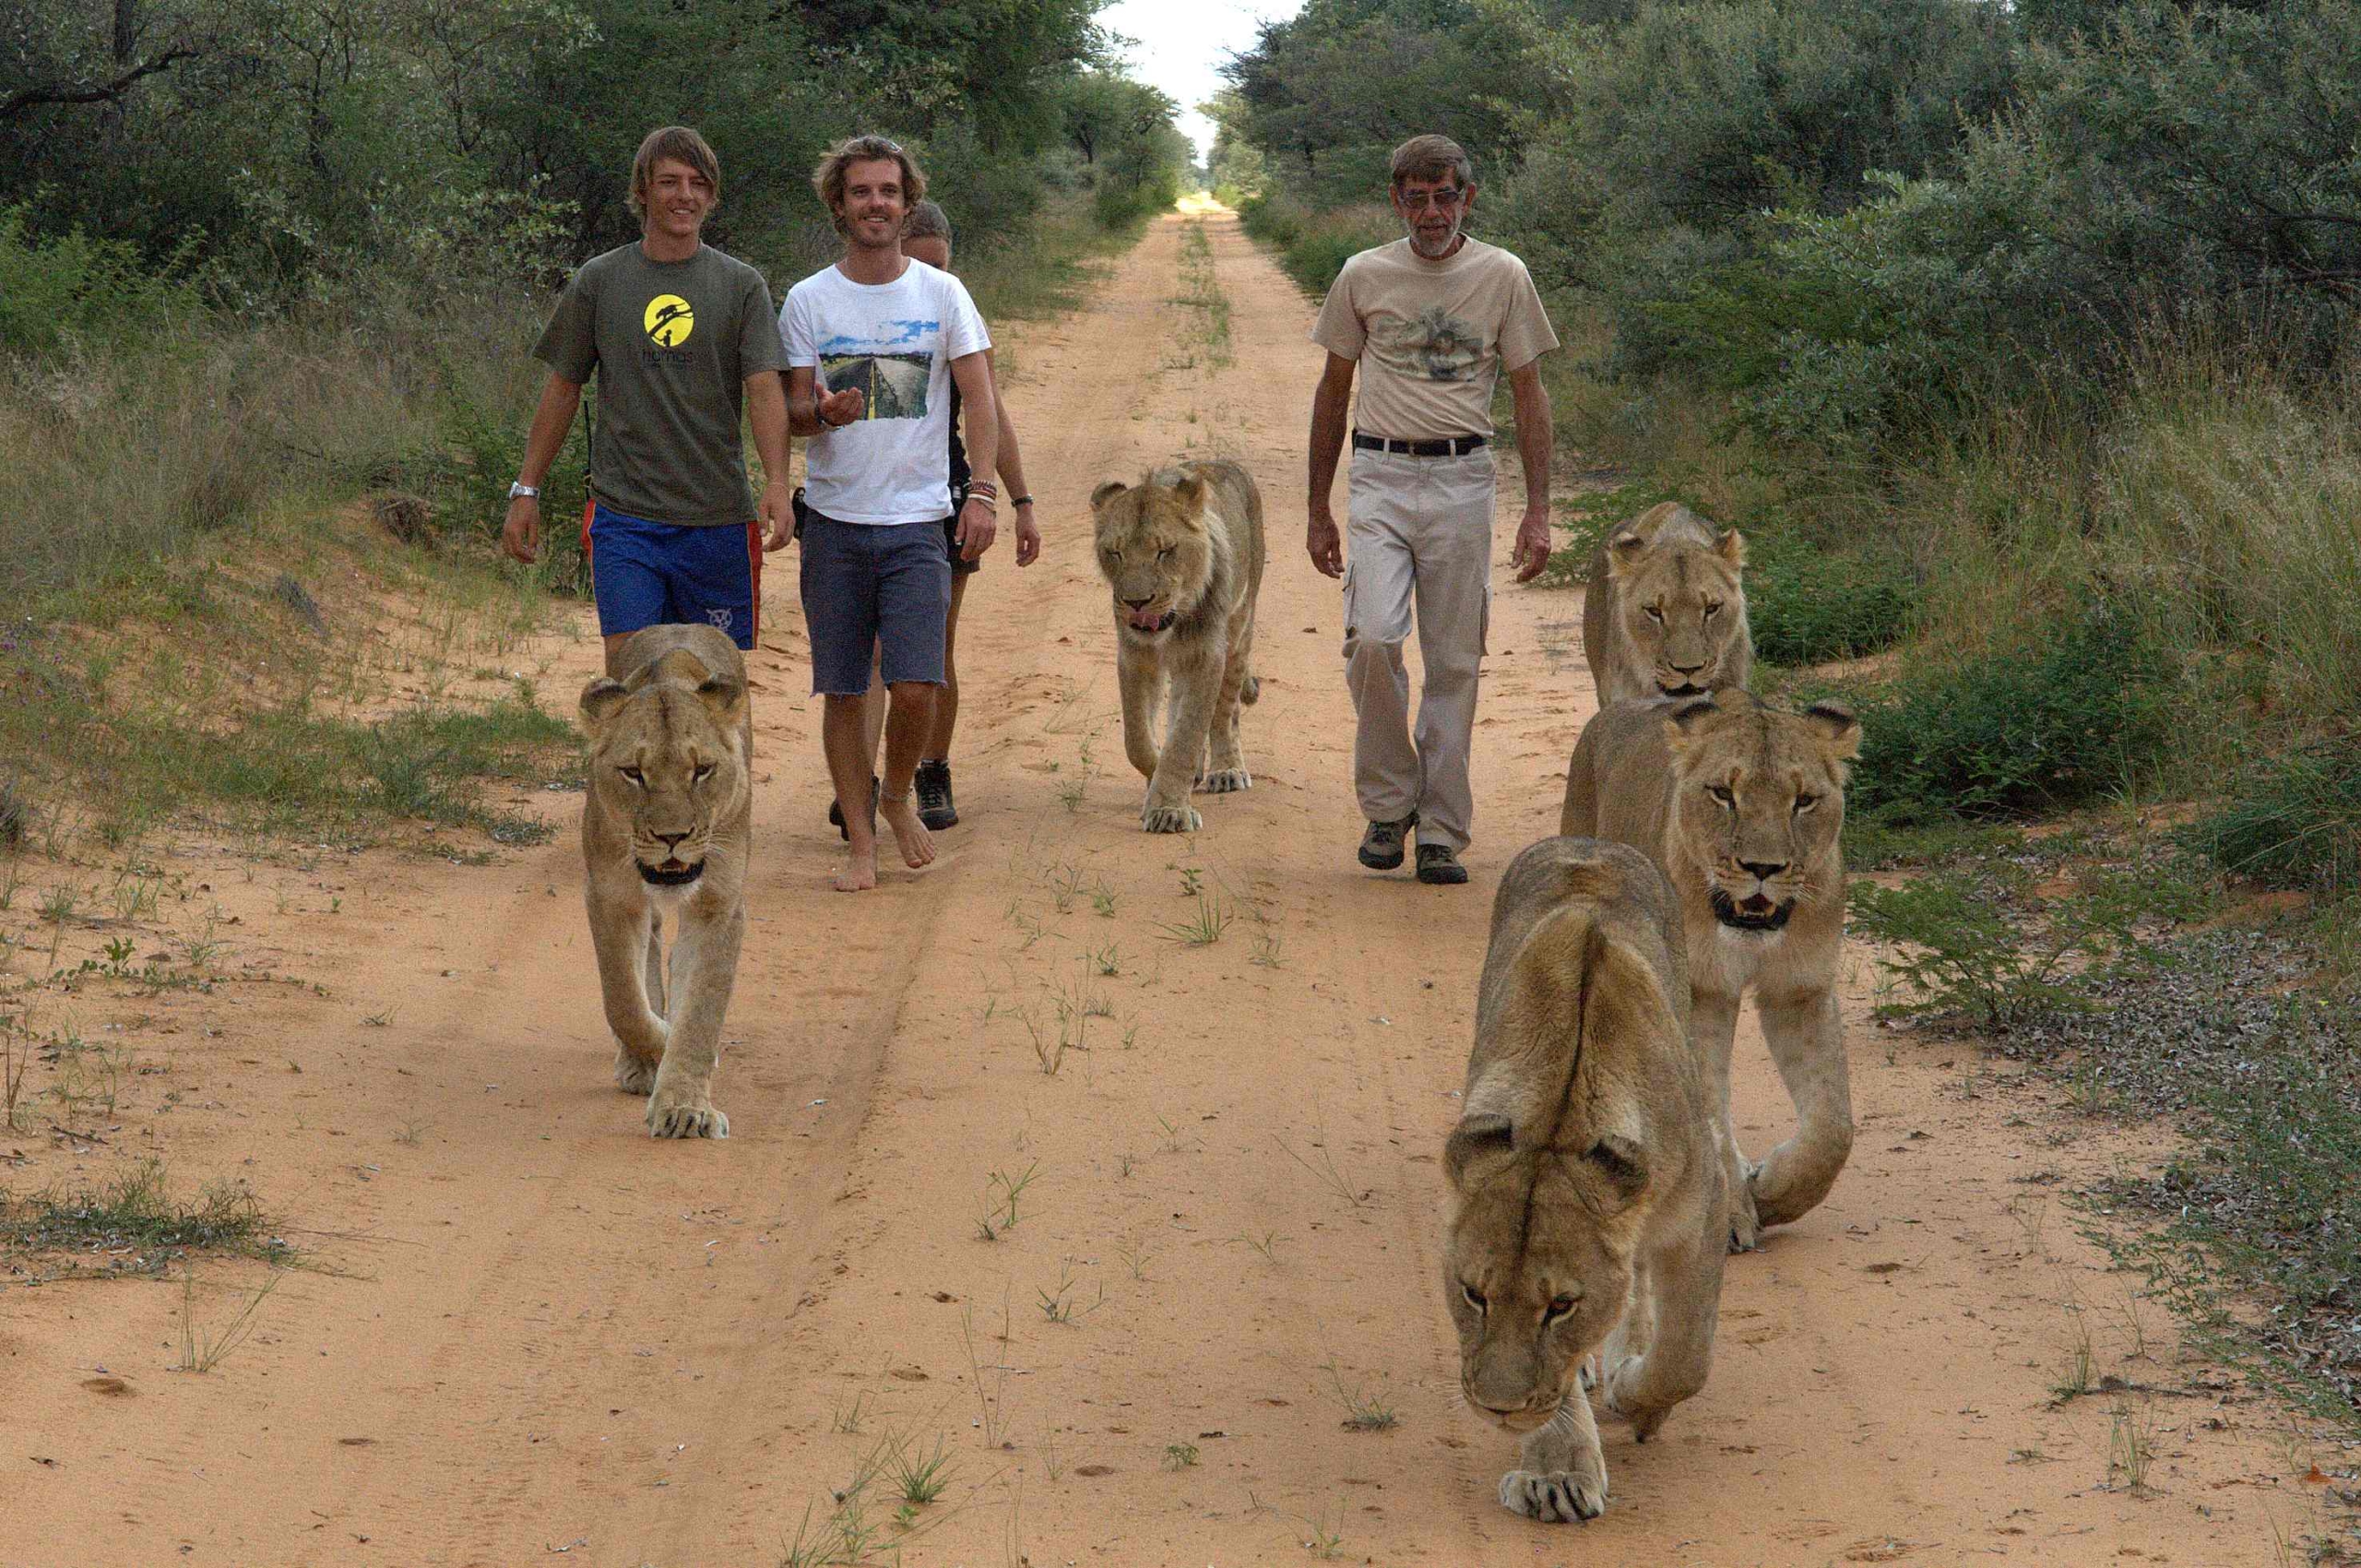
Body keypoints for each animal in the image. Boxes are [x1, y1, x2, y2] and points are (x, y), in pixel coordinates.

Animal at [575, 623, 751, 1138]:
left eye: (702, 770)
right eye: (633, 773)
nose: (673, 837)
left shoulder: (719, 903)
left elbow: (702, 1008)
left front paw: (685, 1108)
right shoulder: (609, 894)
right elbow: (623, 1000)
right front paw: (655, 1048)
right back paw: (640, 1063)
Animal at [1090, 456, 1265, 831]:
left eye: (1165, 551)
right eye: (1115, 553)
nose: (1136, 602)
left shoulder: (1205, 656)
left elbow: (1187, 735)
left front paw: (1169, 809)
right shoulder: (1135, 657)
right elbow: (1137, 739)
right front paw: (1158, 780)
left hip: (1239, 630)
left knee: (1226, 711)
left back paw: (1227, 769)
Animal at [1444, 845, 1727, 1520]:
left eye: (1562, 1306)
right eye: (1473, 1294)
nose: (1498, 1409)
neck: (1560, 1118)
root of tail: (1592, 844)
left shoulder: (1705, 1205)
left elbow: (1686, 1356)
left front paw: (1639, 1398)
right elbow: (1562, 1385)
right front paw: (1557, 1476)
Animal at [1558, 684, 1869, 1246]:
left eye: (1804, 801)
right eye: (1724, 794)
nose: (1763, 868)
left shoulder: (1800, 990)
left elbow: (1833, 1129)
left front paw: (1770, 1193)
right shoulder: (1699, 992)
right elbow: (1708, 1108)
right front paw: (1730, 1211)